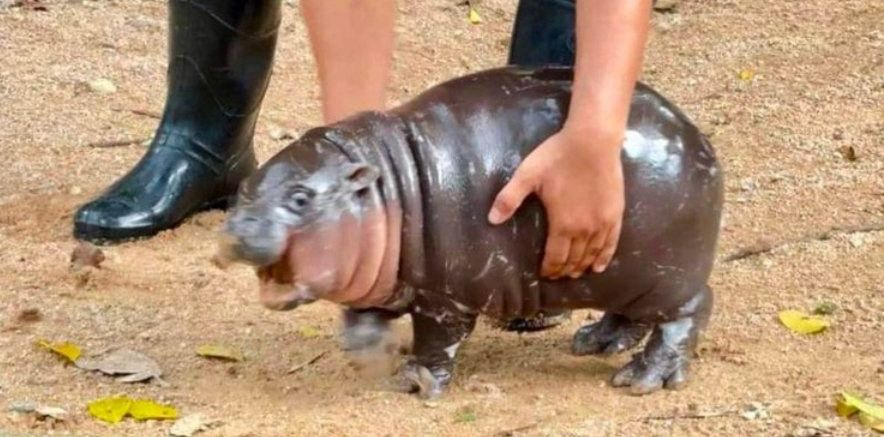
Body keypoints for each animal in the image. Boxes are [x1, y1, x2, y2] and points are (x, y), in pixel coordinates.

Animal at [220, 66, 724, 398]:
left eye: (300, 198)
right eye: (243, 188)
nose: (237, 230)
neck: (388, 187)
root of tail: (698, 139)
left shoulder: (445, 299)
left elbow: (436, 341)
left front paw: (415, 382)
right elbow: (363, 315)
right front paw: (370, 352)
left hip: (667, 275)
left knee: (689, 311)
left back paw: (641, 380)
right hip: (623, 275)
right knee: (632, 316)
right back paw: (593, 342)